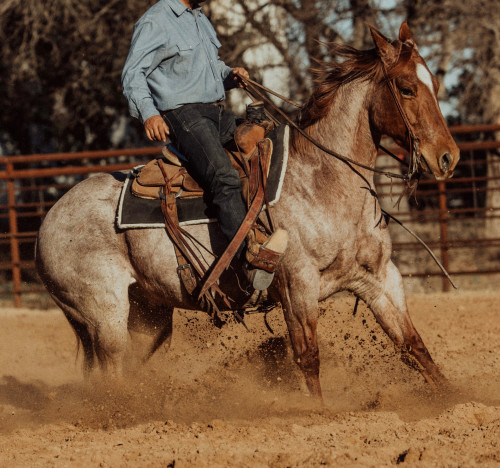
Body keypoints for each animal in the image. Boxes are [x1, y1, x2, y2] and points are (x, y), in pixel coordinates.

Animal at [35, 22, 459, 399]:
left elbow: (414, 346)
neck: (324, 179)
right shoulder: (296, 286)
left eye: (435, 86)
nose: (447, 158)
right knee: (111, 373)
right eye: (406, 88)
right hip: (105, 314)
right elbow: (308, 358)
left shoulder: (380, 279)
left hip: (148, 316)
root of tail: (48, 219)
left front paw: (455, 403)